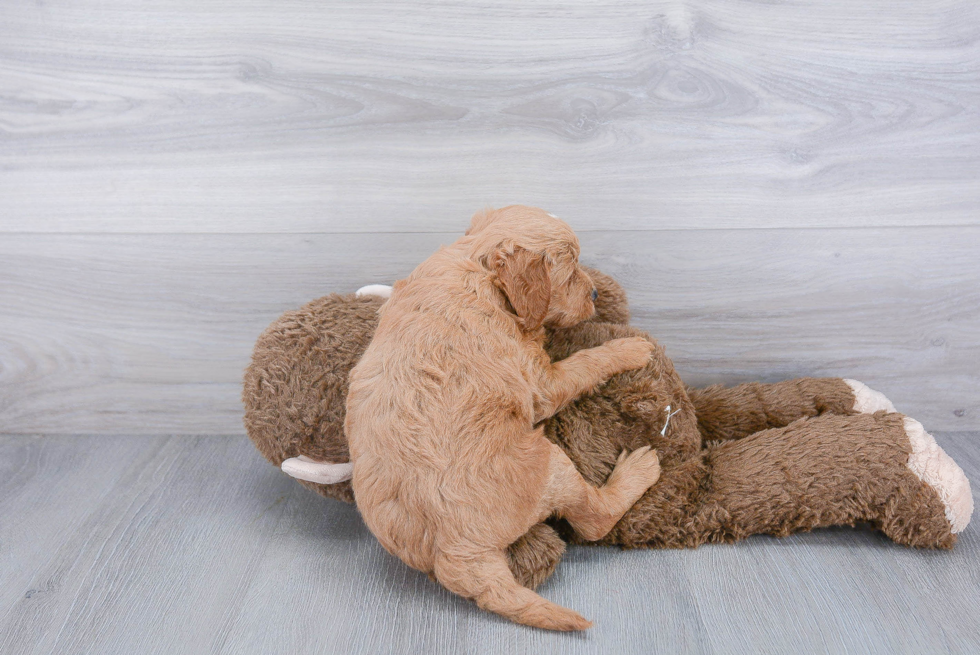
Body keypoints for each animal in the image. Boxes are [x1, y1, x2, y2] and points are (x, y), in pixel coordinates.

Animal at [344, 205, 660, 632]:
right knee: (594, 518)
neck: (477, 270)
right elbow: (584, 362)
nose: (595, 293)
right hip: (550, 462)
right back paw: (638, 469)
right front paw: (629, 348)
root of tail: (455, 553)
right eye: (571, 270)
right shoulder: (542, 382)